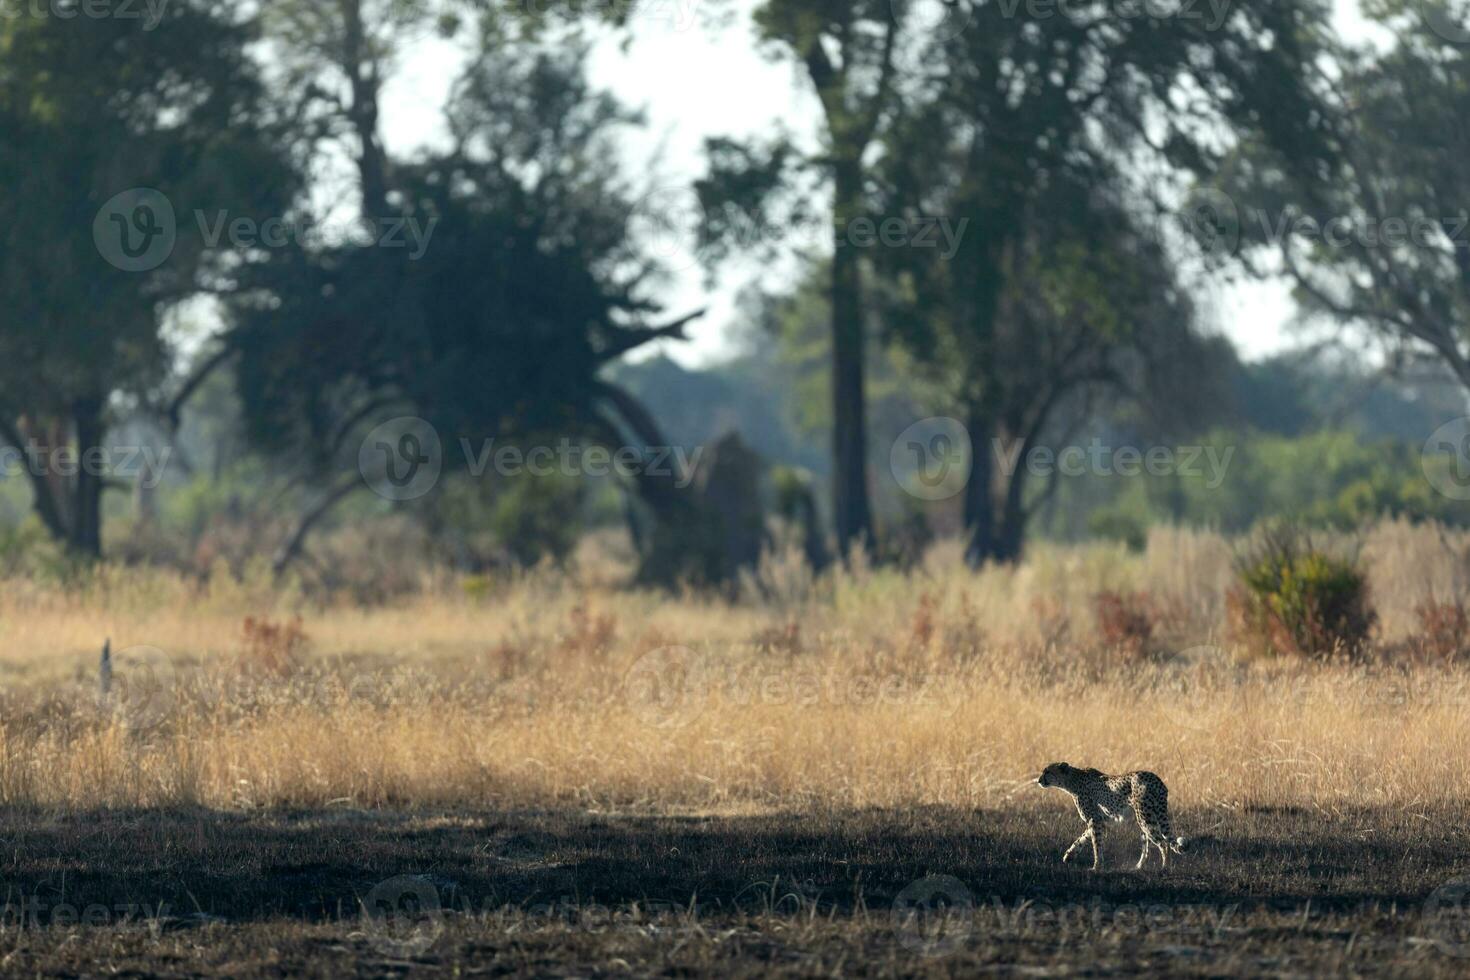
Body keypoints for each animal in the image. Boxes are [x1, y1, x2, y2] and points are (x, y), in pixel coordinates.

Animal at [1034, 764, 1181, 869]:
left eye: (1047, 772)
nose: (1039, 780)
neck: (1072, 781)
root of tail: (1156, 779)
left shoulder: (1094, 820)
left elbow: (1096, 843)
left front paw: (1096, 867)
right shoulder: (1098, 820)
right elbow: (1082, 838)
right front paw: (1069, 855)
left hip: (1145, 817)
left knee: (1163, 843)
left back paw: (1164, 867)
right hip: (1146, 818)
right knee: (1147, 846)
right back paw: (1138, 867)